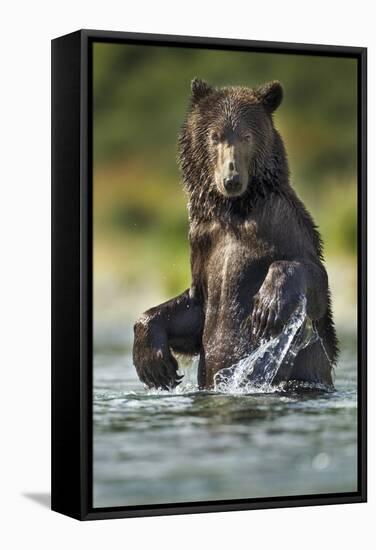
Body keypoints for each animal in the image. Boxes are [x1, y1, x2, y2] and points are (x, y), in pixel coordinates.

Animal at [134, 78, 340, 392]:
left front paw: (267, 307)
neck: (233, 211)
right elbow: (195, 309)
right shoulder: (203, 240)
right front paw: (155, 364)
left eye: (246, 136)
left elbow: (313, 280)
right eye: (214, 136)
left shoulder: (280, 221)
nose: (231, 179)